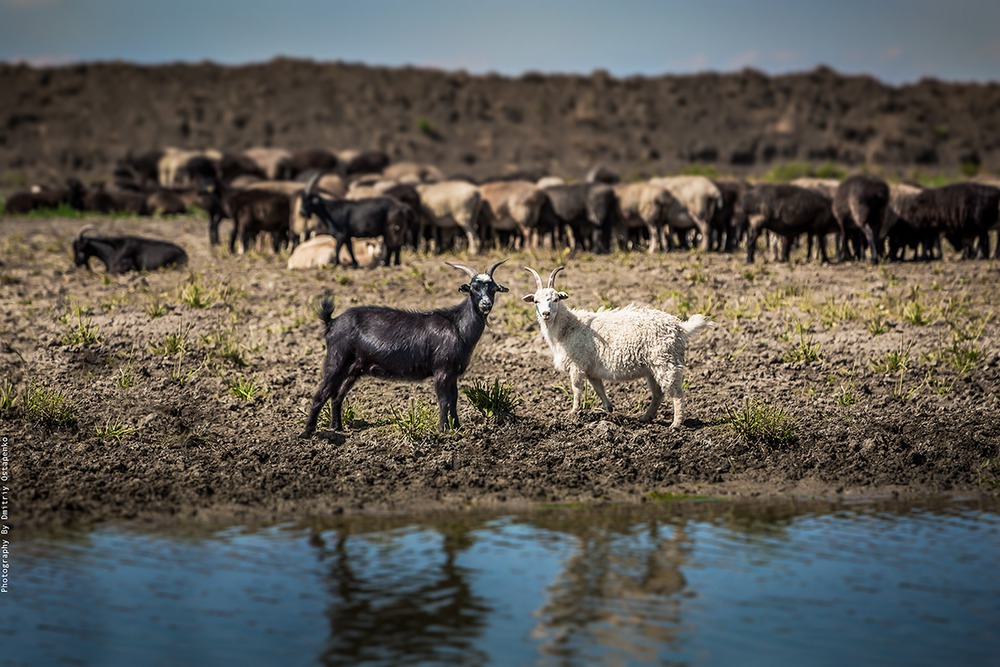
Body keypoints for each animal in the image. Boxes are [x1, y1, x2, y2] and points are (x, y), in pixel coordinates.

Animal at [298, 258, 512, 438]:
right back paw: (307, 433)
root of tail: (332, 322)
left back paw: (337, 427)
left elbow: (454, 398)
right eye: (473, 288)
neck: (457, 326)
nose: (485, 304)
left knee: (337, 396)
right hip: (337, 359)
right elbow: (444, 399)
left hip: (354, 368)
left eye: (493, 288)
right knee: (322, 393)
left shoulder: (452, 372)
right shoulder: (442, 369)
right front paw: (443, 429)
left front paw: (457, 427)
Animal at [524, 266, 720, 428]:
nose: (546, 313)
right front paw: (608, 409)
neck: (569, 327)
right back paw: (646, 417)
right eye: (536, 301)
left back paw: (676, 424)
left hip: (666, 362)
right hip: (653, 367)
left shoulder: (577, 364)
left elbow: (577, 389)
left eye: (556, 299)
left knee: (676, 393)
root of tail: (680, 327)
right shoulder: (591, 369)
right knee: (658, 393)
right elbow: (599, 389)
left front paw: (574, 412)